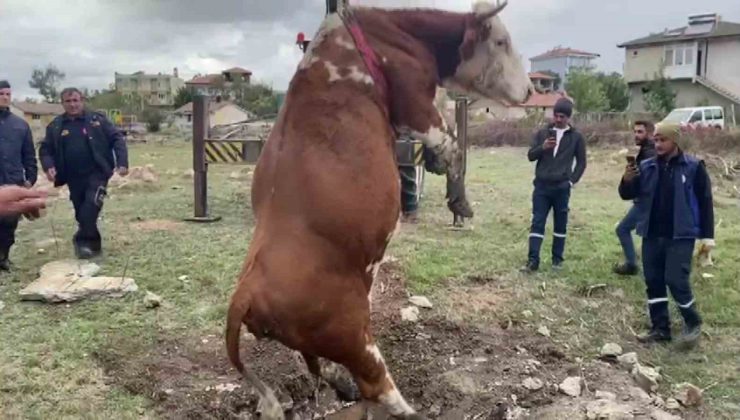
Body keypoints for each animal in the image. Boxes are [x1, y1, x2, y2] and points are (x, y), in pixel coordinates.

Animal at [225, 2, 532, 416]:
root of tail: (244, 293)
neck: (388, 33)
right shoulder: (416, 104)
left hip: (316, 337)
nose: (531, 89)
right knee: (375, 382)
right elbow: (453, 145)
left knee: (318, 366)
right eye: (501, 40)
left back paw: (342, 385)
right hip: (350, 333)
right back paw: (407, 409)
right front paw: (459, 200)